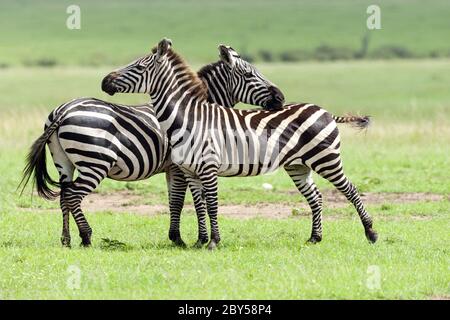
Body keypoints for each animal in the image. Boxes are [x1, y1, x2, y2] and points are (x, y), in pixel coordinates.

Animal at [18, 43, 284, 248]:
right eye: (250, 75)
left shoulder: (174, 167)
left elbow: (176, 200)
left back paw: (66, 239)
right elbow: (181, 200)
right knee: (73, 196)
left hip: (64, 162)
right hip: (95, 162)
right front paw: (180, 239)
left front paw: (181, 237)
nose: (280, 97)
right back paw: (86, 237)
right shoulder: (178, 166)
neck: (193, 110)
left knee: (64, 196)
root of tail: (63, 111)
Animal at [101, 38, 376, 249]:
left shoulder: (207, 167)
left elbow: (209, 204)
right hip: (299, 165)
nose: (105, 81)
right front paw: (200, 241)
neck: (188, 116)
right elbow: (198, 204)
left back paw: (371, 233)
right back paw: (315, 238)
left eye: (137, 66)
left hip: (326, 159)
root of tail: (326, 111)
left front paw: (212, 242)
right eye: (249, 73)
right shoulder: (190, 171)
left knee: (351, 190)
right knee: (316, 197)